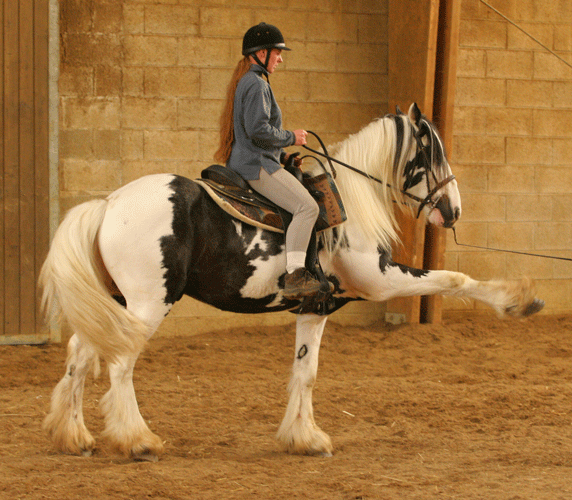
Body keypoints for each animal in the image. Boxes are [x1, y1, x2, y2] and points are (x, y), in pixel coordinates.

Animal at [41, 105, 544, 460]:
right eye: (430, 152)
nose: (454, 210)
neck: (348, 201)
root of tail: (108, 204)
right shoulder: (380, 280)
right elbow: (452, 277)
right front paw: (516, 300)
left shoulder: (315, 307)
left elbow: (306, 372)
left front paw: (304, 438)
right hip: (148, 304)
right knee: (120, 364)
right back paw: (137, 440)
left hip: (116, 303)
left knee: (80, 354)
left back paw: (74, 435)